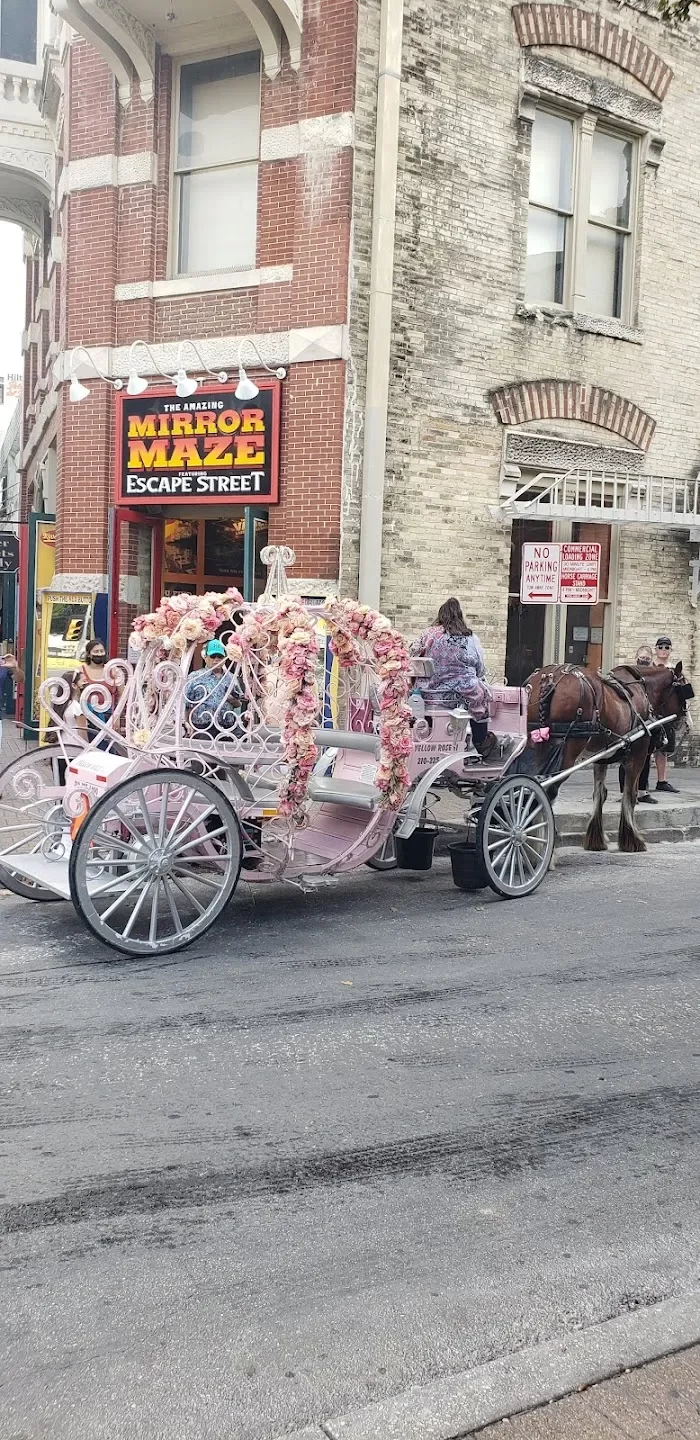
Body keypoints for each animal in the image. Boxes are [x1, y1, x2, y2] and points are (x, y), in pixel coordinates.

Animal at [521, 662, 691, 852]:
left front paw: (596, 839)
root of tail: (549, 678)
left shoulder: (601, 757)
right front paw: (632, 840)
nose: (683, 721)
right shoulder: (637, 754)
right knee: (546, 791)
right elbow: (630, 795)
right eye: (684, 687)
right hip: (568, 751)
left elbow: (600, 793)